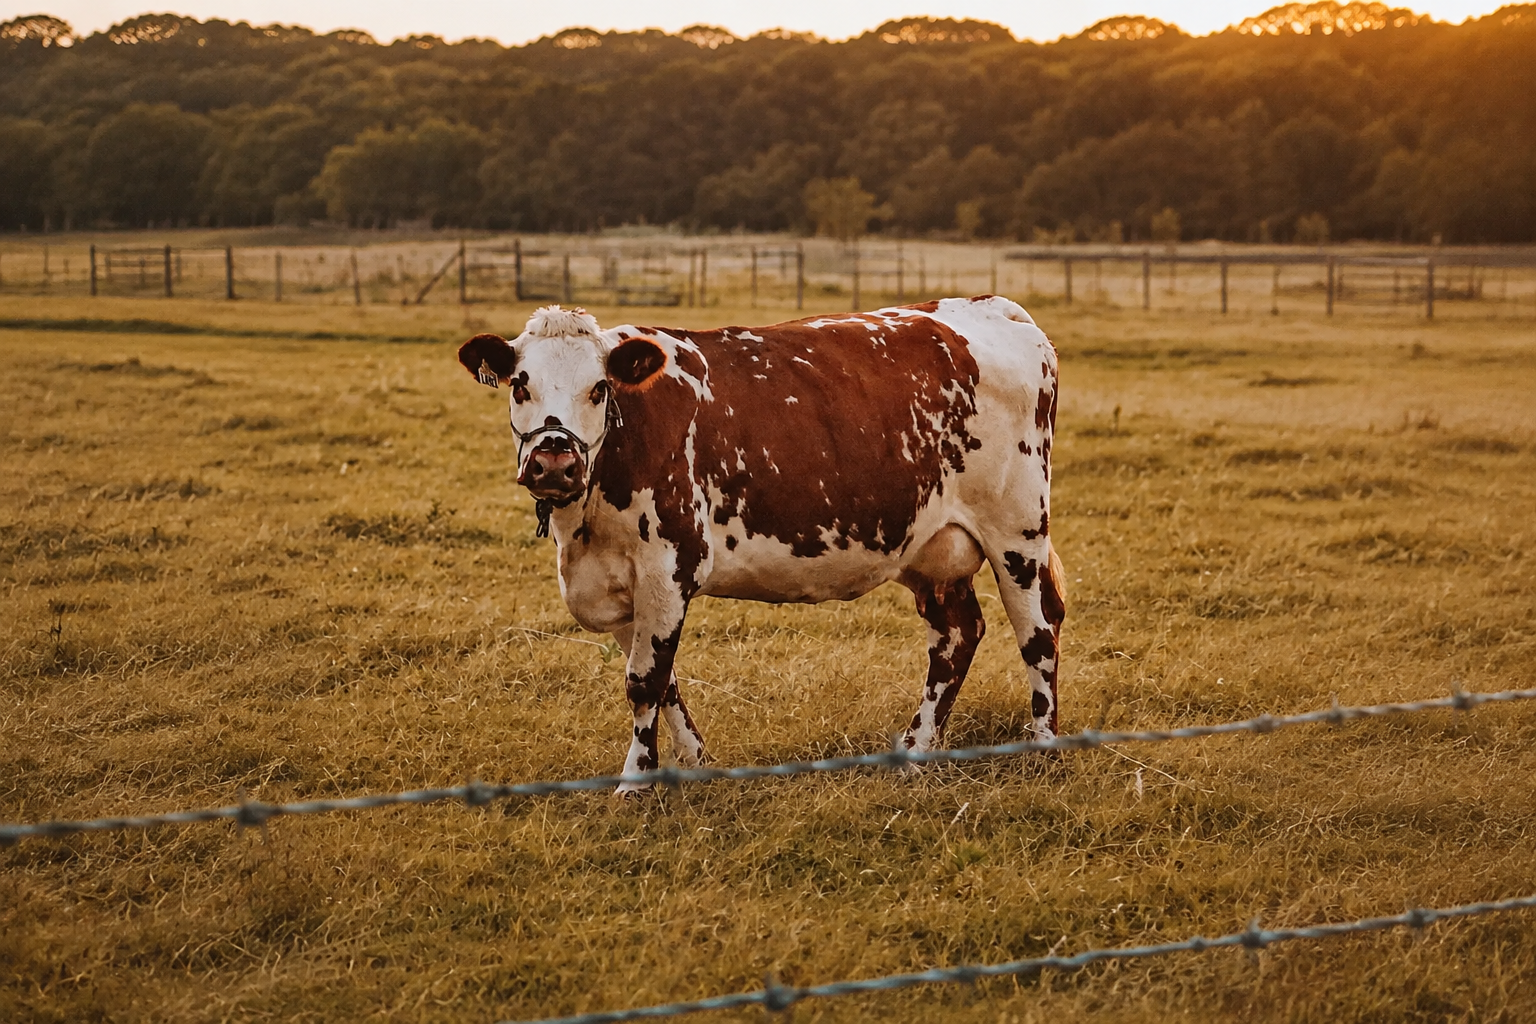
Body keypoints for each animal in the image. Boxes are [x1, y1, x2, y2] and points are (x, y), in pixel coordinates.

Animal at [457, 296, 1066, 793]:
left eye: (599, 388)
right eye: (521, 384)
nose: (554, 460)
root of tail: (992, 306)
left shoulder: (667, 566)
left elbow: (644, 681)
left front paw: (635, 782)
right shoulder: (622, 583)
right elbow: (664, 681)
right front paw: (694, 762)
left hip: (1017, 532)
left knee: (1038, 633)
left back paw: (1044, 750)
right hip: (935, 550)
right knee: (957, 636)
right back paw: (915, 751)